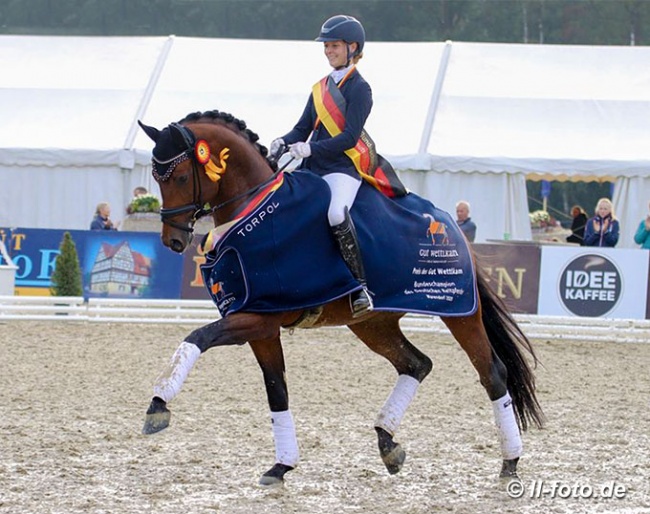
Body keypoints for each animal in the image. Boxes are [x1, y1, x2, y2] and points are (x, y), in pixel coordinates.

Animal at [139, 109, 544, 484]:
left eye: (180, 176)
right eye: (157, 178)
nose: (173, 240)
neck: (254, 210)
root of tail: (451, 223)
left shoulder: (259, 317)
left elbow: (197, 338)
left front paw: (158, 404)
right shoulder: (261, 325)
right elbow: (277, 391)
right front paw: (281, 465)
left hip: (458, 311)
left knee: (492, 374)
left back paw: (510, 461)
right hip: (373, 324)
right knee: (416, 364)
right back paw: (387, 443)